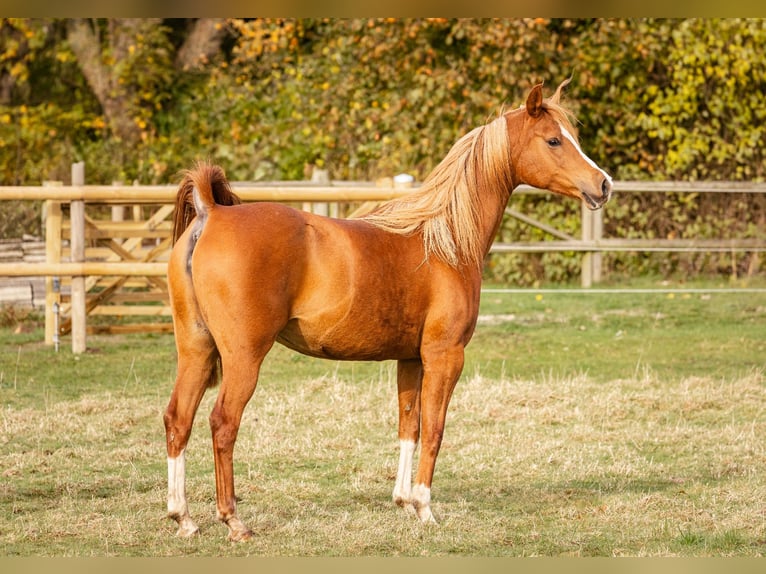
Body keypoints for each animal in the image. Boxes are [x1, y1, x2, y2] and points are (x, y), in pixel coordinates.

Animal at [163, 79, 612, 541]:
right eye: (554, 140)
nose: (604, 184)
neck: (445, 240)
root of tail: (211, 213)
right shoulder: (445, 356)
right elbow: (434, 429)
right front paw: (426, 508)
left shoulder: (411, 359)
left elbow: (408, 426)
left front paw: (404, 501)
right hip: (243, 357)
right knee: (222, 423)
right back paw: (233, 521)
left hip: (196, 350)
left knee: (178, 419)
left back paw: (184, 517)